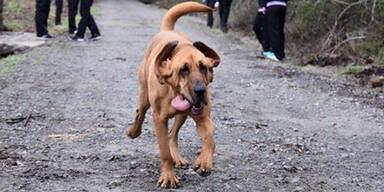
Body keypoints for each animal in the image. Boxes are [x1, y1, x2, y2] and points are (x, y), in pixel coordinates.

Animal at [127, 1, 219, 188]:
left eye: (204, 67)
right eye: (183, 69)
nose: (200, 91)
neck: (173, 91)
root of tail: (167, 30)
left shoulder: (203, 118)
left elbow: (210, 138)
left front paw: (204, 161)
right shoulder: (159, 119)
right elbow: (164, 152)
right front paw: (168, 177)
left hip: (182, 115)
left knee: (172, 135)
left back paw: (178, 157)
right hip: (144, 97)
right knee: (140, 113)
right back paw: (133, 132)